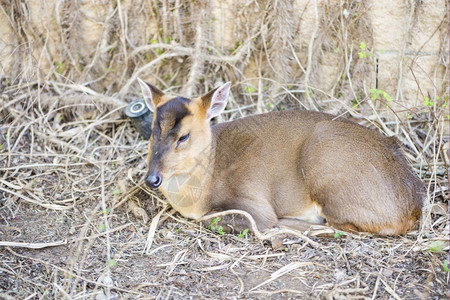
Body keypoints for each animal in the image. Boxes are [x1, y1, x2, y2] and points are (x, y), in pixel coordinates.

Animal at [135, 79, 424, 237]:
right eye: (152, 131)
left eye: (184, 136)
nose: (152, 178)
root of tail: (412, 210)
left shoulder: (251, 201)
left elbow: (216, 219)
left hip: (327, 165)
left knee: (341, 227)